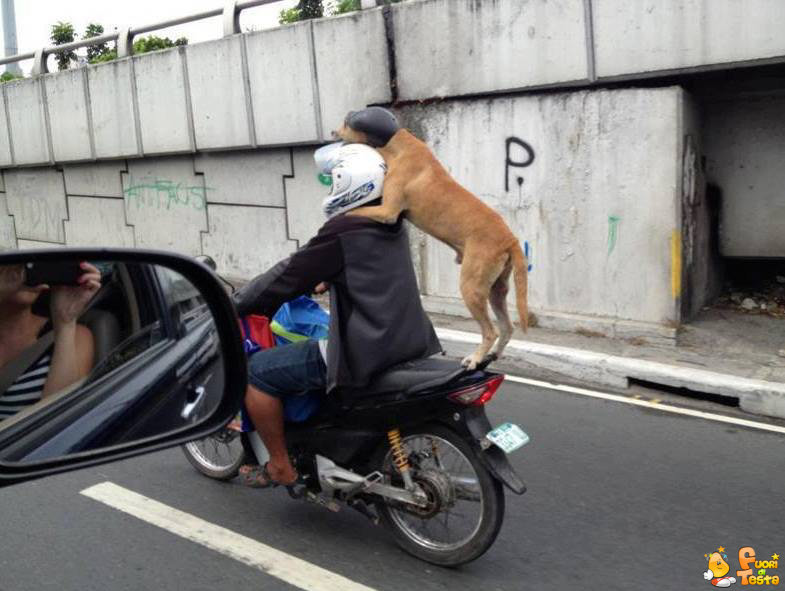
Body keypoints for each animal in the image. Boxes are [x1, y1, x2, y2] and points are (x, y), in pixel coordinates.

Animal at [336, 107, 528, 370]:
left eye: (347, 122)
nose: (333, 132)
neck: (396, 143)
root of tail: (510, 239)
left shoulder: (387, 212)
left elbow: (354, 211)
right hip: (495, 289)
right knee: (507, 327)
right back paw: (491, 355)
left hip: (471, 287)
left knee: (491, 331)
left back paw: (475, 358)